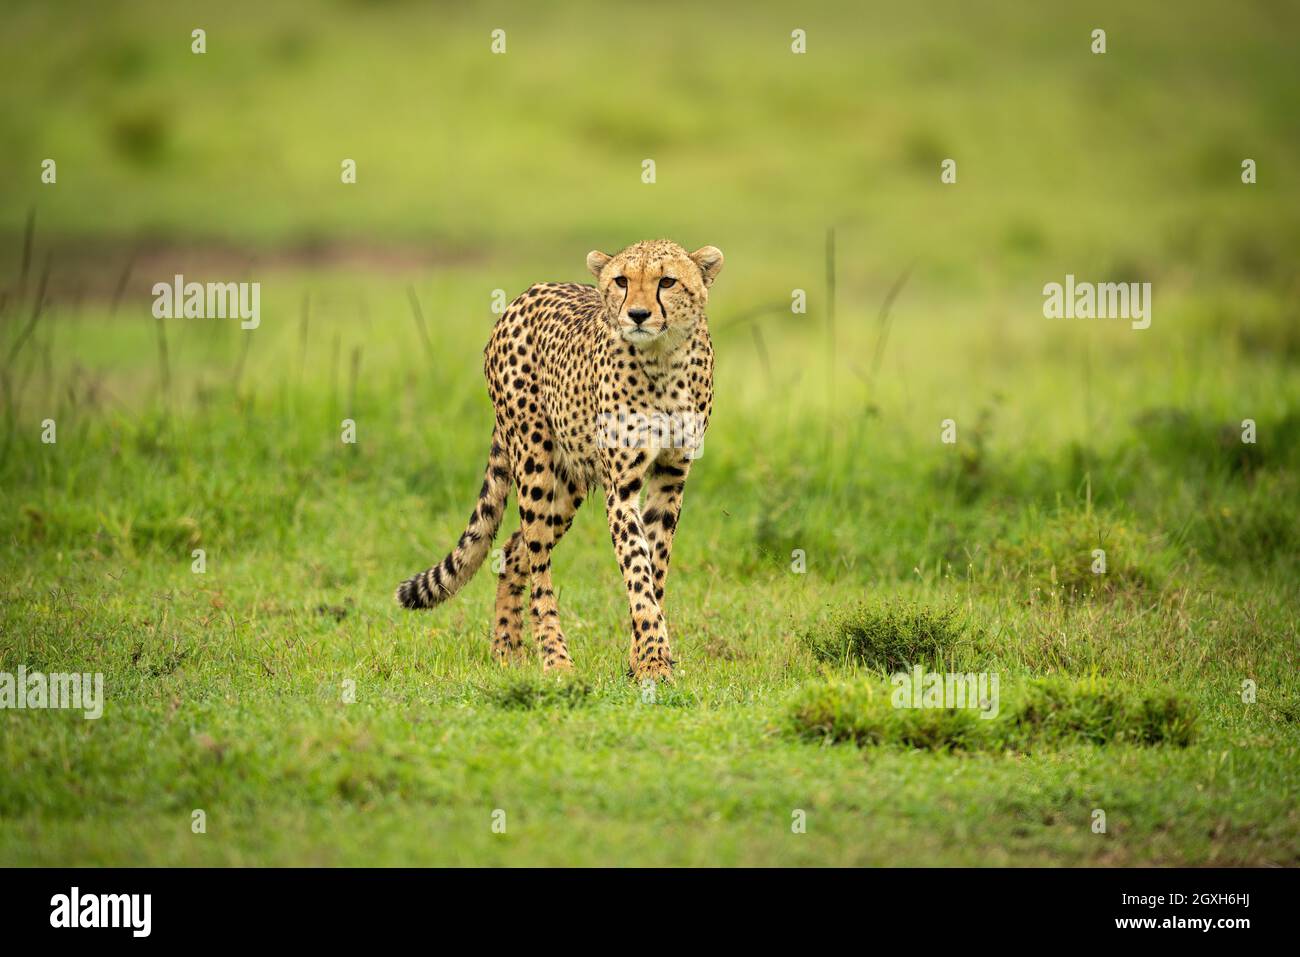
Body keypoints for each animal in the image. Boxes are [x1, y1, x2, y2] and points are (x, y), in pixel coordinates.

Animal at [395, 236, 722, 681]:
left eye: (667, 281)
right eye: (621, 281)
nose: (637, 315)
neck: (661, 358)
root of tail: (526, 294)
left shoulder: (671, 476)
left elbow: (654, 571)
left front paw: (643, 659)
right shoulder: (622, 489)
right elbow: (637, 570)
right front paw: (654, 660)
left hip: (568, 483)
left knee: (513, 551)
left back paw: (506, 650)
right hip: (534, 462)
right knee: (537, 564)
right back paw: (554, 658)